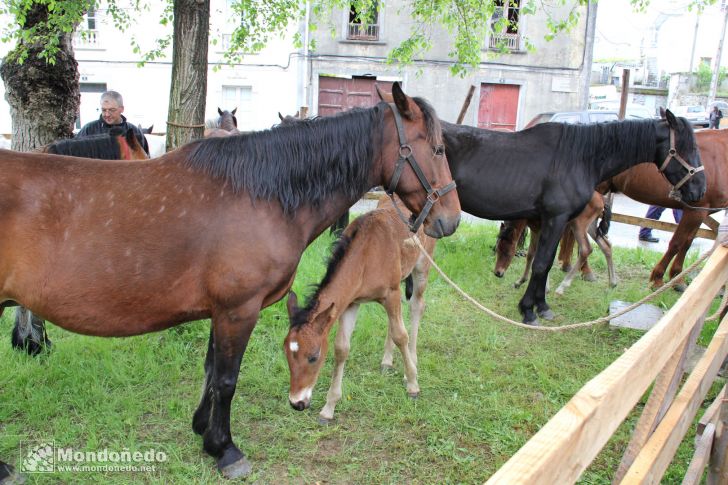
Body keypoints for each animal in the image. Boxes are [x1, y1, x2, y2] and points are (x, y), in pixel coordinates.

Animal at [284, 195, 436, 422]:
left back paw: (411, 362)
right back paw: (387, 361)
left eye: (313, 357)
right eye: (286, 352)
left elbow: (401, 335)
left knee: (417, 306)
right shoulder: (351, 303)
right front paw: (328, 408)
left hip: (422, 266)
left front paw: (413, 385)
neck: (366, 254)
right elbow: (341, 348)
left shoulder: (390, 293)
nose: (297, 403)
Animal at [438, 111, 704, 324]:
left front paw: (542, 306)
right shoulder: (555, 218)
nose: (699, 190)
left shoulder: (555, 222)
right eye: (689, 148)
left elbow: (545, 262)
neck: (578, 157)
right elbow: (541, 263)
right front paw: (528, 310)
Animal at [596, 126, 728, 290]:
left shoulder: (700, 213)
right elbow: (676, 243)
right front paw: (657, 278)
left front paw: (677, 278)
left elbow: (687, 243)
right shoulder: (696, 211)